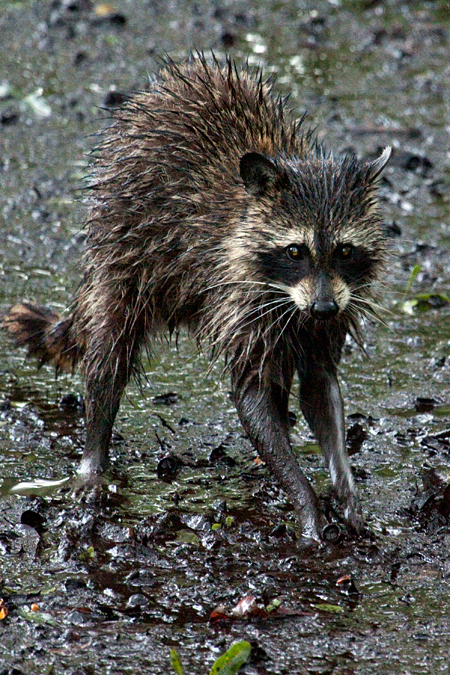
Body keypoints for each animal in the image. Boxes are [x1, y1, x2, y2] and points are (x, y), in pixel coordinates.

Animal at [2, 56, 390, 544]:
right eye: (295, 251)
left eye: (344, 250)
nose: (322, 308)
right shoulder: (240, 299)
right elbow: (250, 394)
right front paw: (305, 502)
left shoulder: (330, 310)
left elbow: (320, 391)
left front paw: (344, 486)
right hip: (120, 244)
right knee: (109, 351)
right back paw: (94, 452)